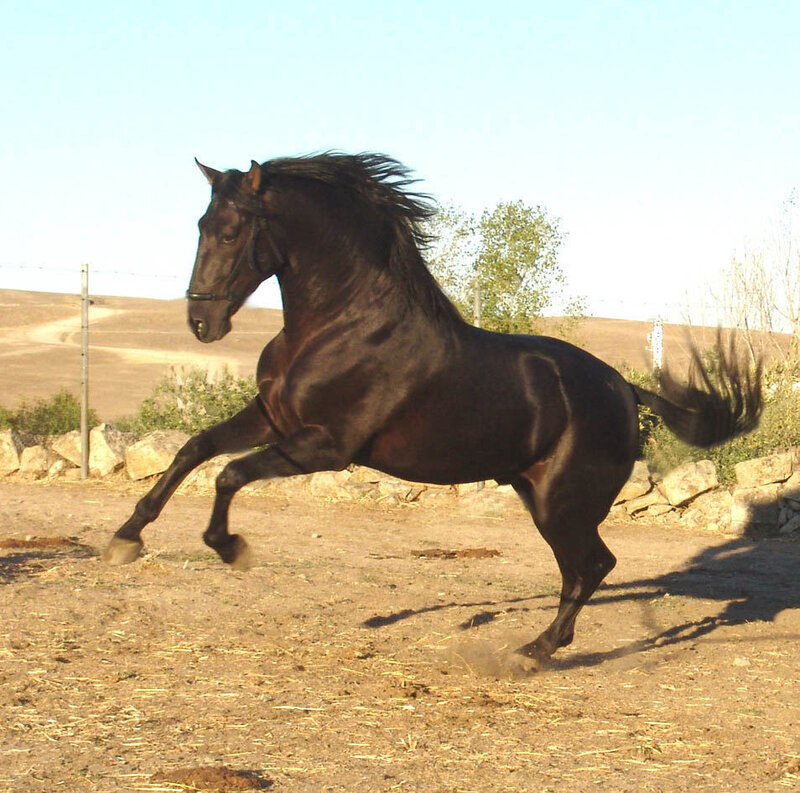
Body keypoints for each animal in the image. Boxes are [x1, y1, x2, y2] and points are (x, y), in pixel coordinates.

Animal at [103, 152, 762, 666]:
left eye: (232, 230)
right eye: (201, 223)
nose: (202, 321)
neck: (340, 325)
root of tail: (625, 389)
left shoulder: (327, 446)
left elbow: (229, 473)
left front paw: (231, 549)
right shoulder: (272, 418)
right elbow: (195, 449)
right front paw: (125, 538)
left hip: (561, 501)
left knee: (593, 566)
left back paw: (534, 652)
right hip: (537, 495)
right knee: (583, 569)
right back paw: (539, 648)